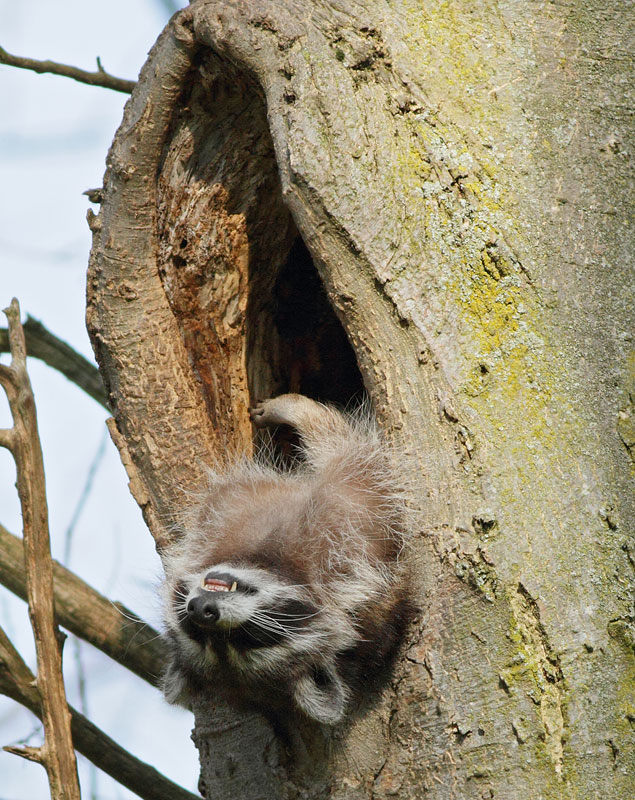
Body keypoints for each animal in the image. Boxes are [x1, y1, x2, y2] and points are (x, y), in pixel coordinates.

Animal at [162, 394, 409, 725]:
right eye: (201, 636)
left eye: (251, 636)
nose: (203, 611)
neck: (262, 560)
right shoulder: (340, 533)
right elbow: (347, 451)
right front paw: (300, 410)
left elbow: (345, 452)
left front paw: (291, 407)